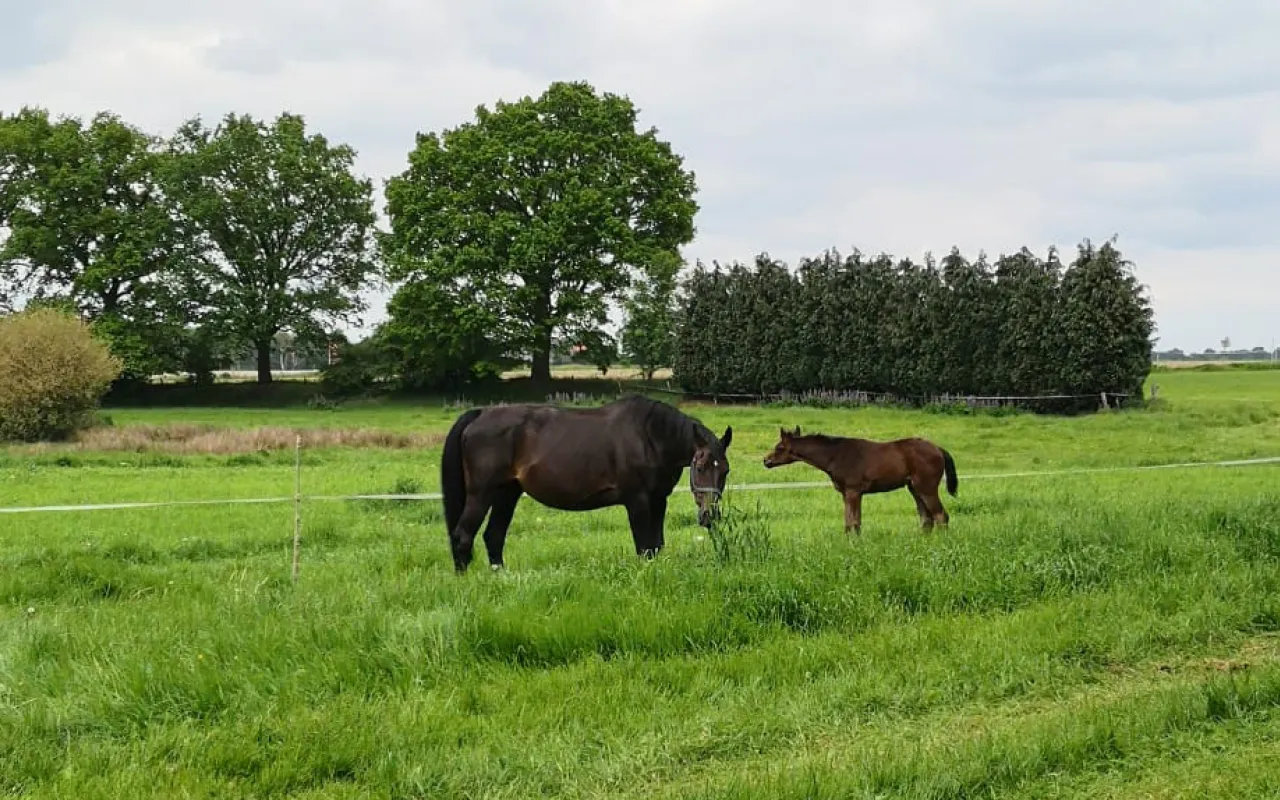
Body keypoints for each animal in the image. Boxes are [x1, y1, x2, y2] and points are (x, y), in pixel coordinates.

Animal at [445, 394, 737, 570]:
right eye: (699, 466)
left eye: (725, 471)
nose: (709, 516)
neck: (649, 436)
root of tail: (479, 415)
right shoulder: (638, 501)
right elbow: (643, 546)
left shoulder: (658, 500)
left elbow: (656, 545)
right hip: (481, 494)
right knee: (463, 535)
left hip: (507, 494)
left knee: (493, 536)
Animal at [757, 427, 962, 532]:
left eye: (779, 447)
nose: (766, 461)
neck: (836, 455)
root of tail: (938, 449)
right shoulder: (847, 493)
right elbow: (850, 523)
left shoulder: (853, 491)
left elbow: (854, 523)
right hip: (913, 488)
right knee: (926, 518)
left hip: (926, 487)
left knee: (941, 516)